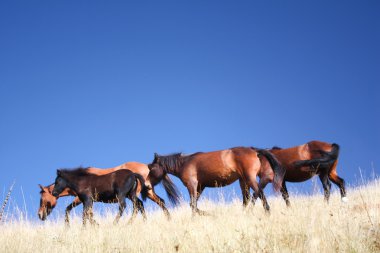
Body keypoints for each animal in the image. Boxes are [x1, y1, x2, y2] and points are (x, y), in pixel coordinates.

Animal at [37, 162, 180, 223]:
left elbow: (75, 211)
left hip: (128, 195)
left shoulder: (84, 199)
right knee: (157, 202)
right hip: (142, 193)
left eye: (42, 198)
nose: (40, 215)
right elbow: (87, 214)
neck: (82, 178)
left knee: (132, 206)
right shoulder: (87, 201)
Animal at [148, 146, 284, 215]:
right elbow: (193, 205)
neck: (185, 163)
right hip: (243, 181)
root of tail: (255, 151)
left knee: (259, 193)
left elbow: (193, 205)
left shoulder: (192, 185)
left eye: (151, 168)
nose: (147, 185)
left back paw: (267, 212)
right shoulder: (200, 187)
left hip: (250, 179)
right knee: (246, 199)